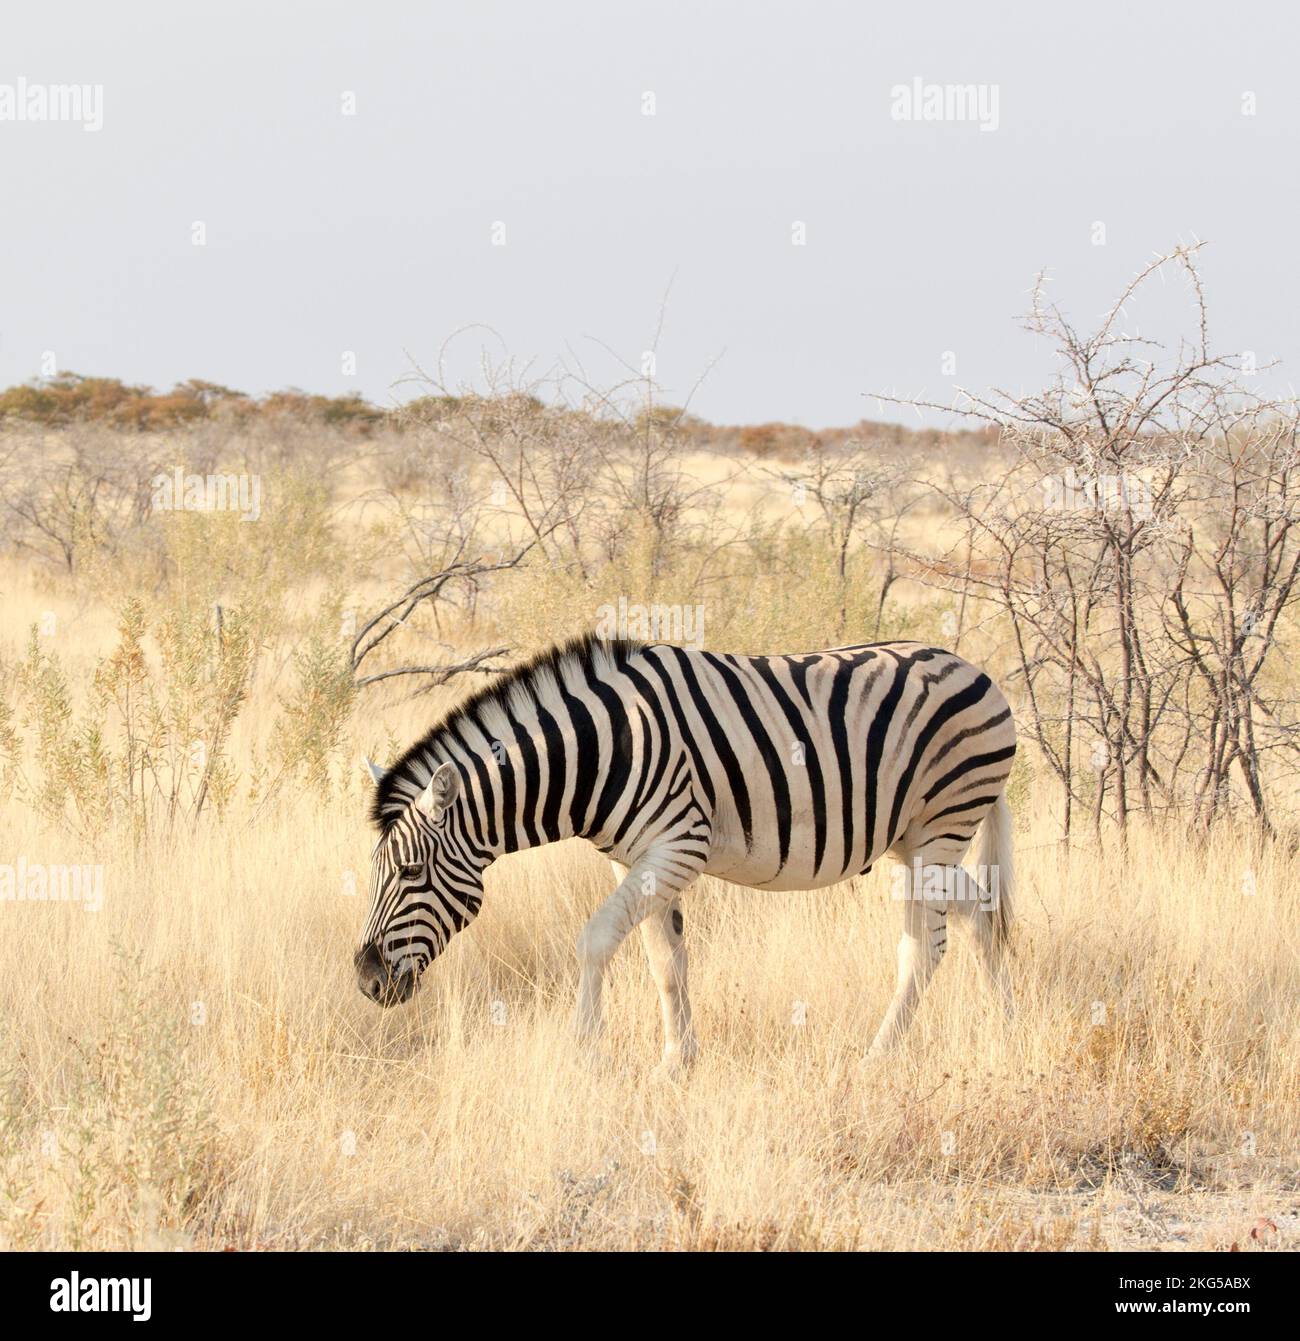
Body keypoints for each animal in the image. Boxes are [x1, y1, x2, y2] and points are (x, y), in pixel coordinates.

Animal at [357, 633, 1017, 1067]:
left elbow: (596, 940)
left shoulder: (679, 845)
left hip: (939, 828)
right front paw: (678, 1061)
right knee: (981, 913)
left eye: (411, 871)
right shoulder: (639, 858)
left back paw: (879, 1056)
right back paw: (1003, 1023)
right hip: (914, 841)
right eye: (376, 873)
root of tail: (974, 668)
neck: (602, 751)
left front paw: (584, 1049)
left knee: (925, 947)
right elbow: (666, 961)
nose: (366, 982)